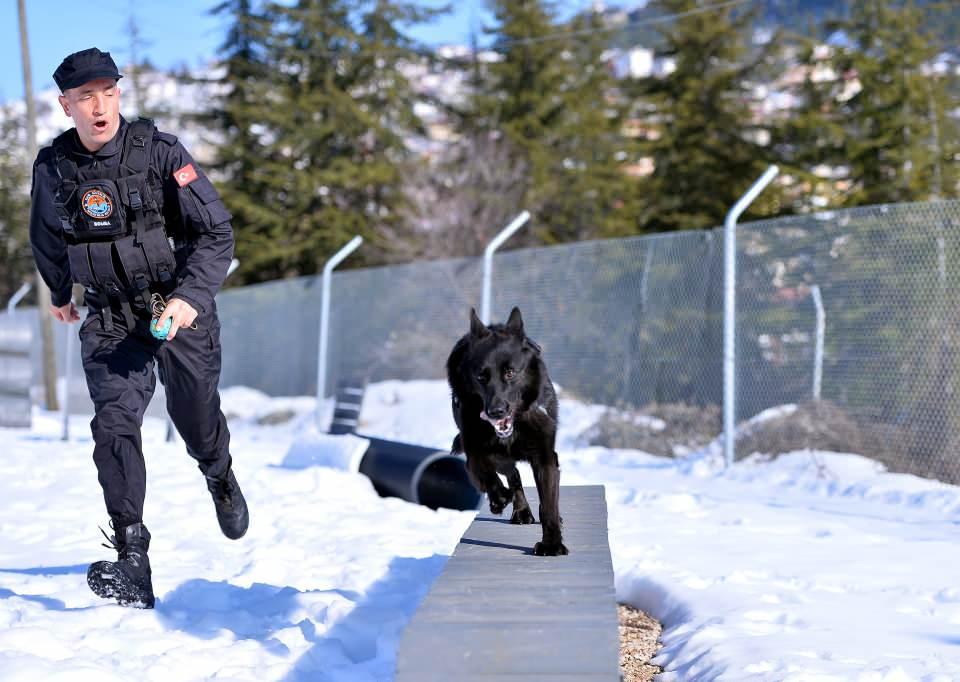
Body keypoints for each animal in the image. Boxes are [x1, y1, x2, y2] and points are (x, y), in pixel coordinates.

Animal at [446, 307, 568, 556]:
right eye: (481, 377)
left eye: (510, 373)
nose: (496, 411)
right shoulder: (474, 453)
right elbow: (485, 473)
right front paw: (500, 497)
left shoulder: (545, 458)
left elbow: (549, 504)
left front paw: (552, 544)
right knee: (512, 474)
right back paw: (517, 508)